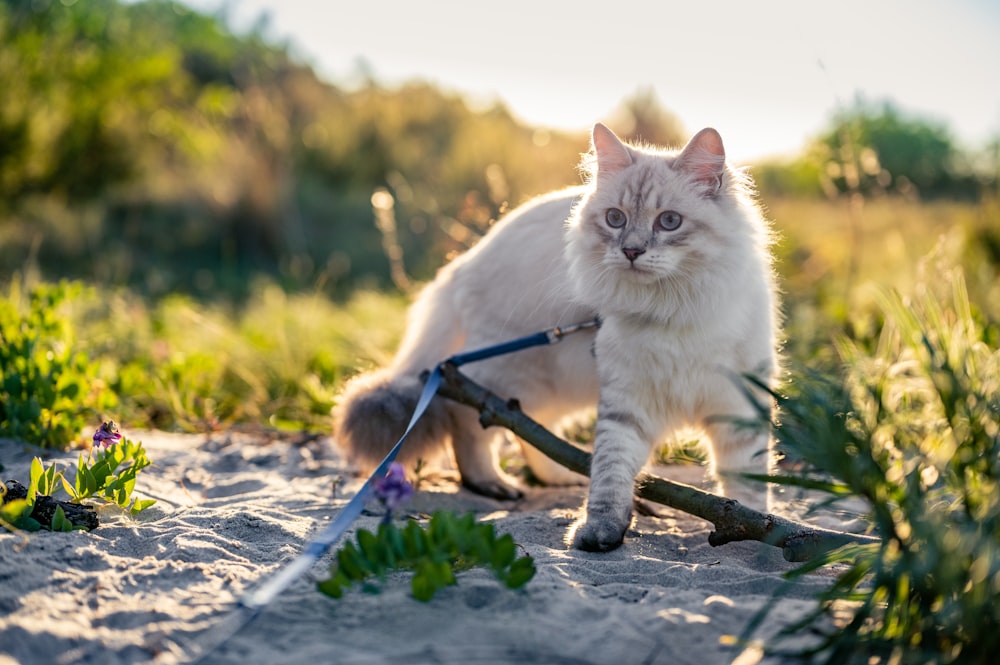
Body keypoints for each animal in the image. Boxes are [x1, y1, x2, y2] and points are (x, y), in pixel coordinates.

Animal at [336, 123, 780, 548]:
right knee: (468, 416)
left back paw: (559, 475)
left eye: (669, 221)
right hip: (516, 373)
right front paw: (600, 532)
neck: (671, 309)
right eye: (615, 219)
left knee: (533, 430)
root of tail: (462, 263)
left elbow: (747, 484)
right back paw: (493, 484)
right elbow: (611, 474)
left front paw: (749, 528)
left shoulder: (738, 408)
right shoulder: (627, 403)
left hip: (558, 382)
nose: (631, 251)